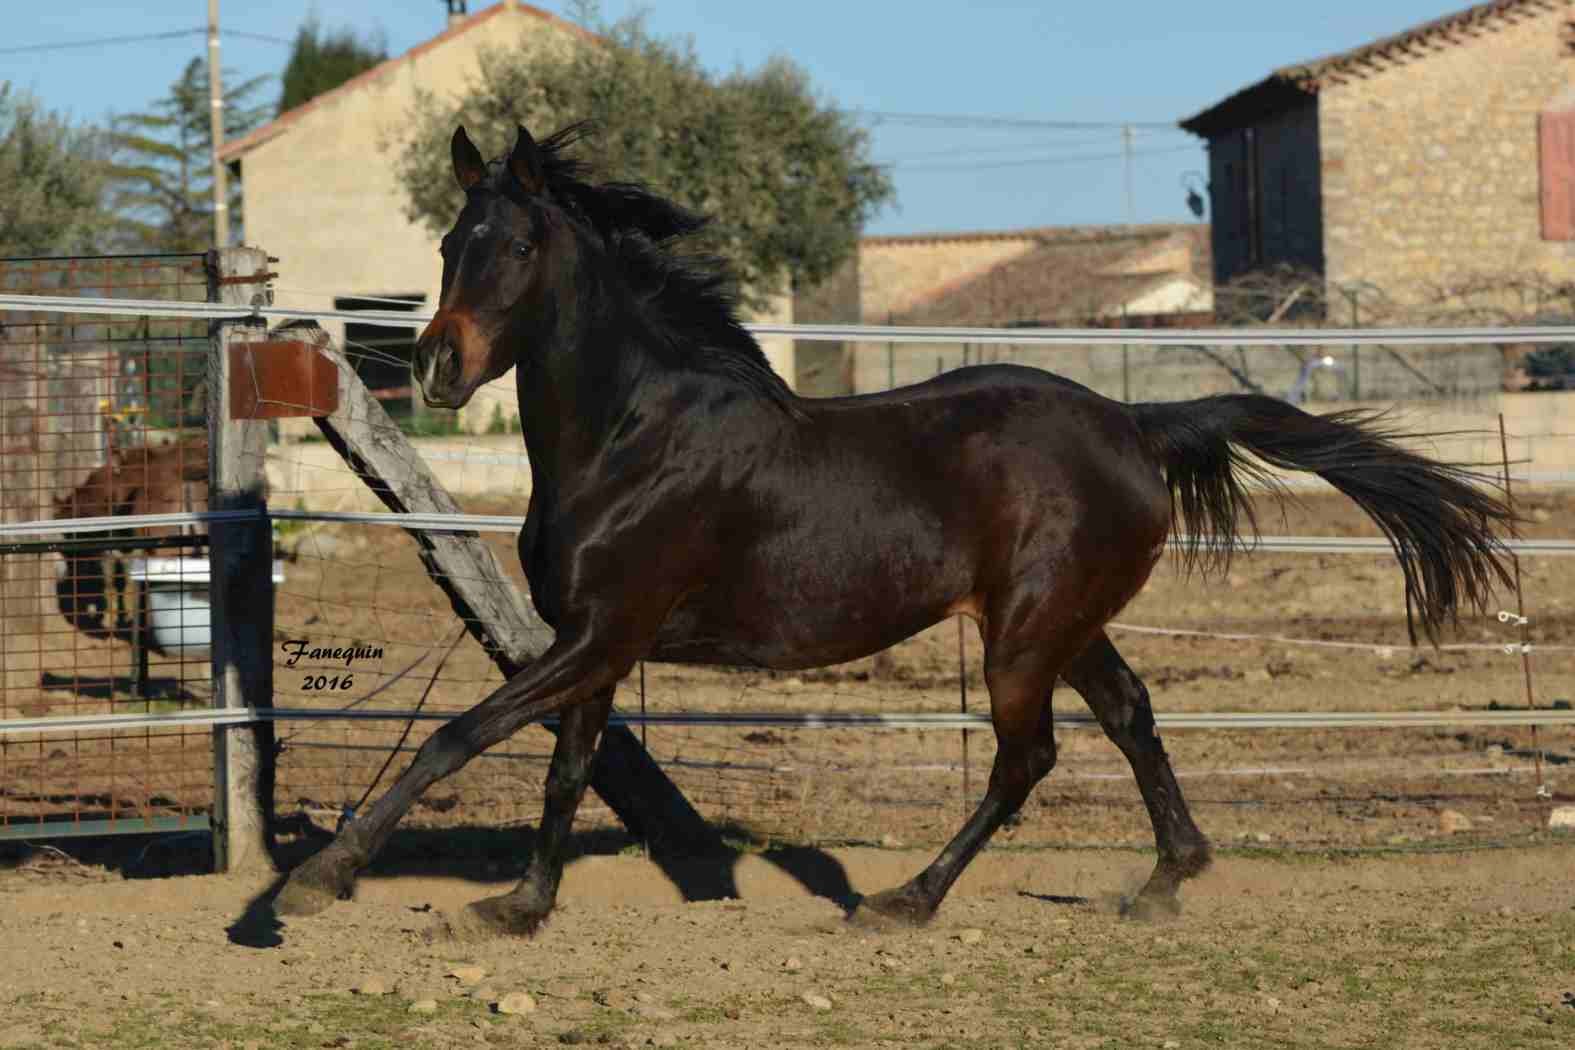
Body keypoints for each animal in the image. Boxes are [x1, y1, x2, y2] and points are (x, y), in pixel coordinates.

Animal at [277, 125, 1518, 938]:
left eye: (519, 248)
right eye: (451, 241)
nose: (436, 367)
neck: (631, 435)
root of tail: (1133, 422)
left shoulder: (601, 633)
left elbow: (460, 736)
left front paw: (319, 880)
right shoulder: (596, 642)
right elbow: (567, 768)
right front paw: (519, 908)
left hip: (1023, 635)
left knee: (1028, 758)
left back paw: (904, 900)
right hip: (1063, 624)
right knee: (1130, 715)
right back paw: (1165, 881)